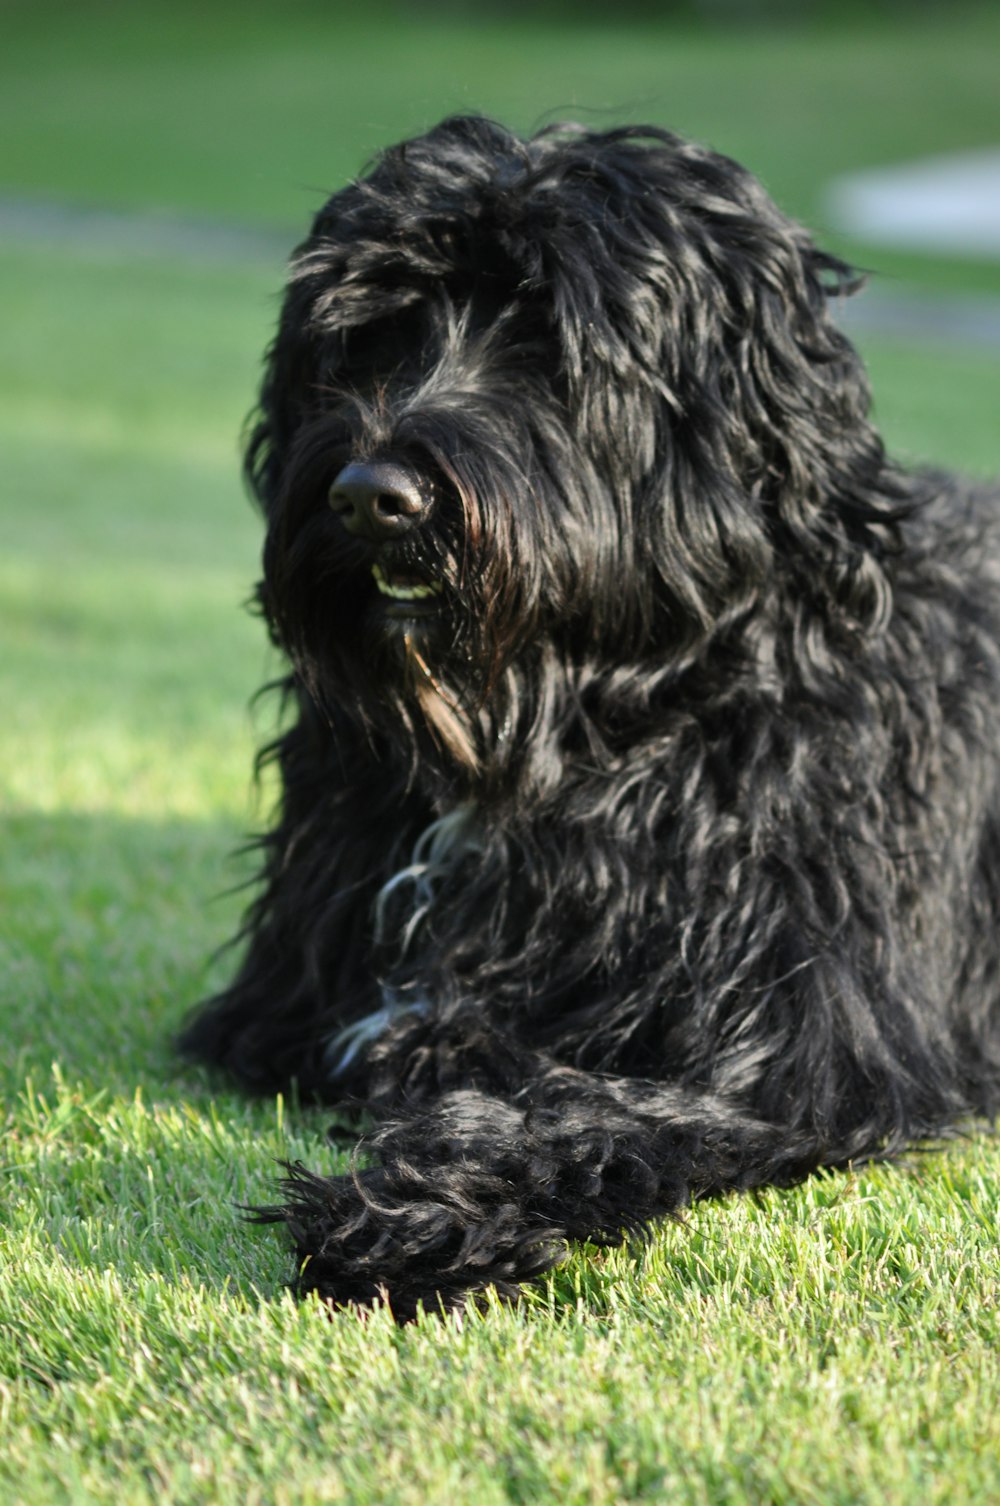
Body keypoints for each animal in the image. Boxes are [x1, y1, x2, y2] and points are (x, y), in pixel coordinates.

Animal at [179, 114, 1000, 1319]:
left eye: (547, 345)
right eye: (371, 336)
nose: (372, 496)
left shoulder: (798, 1051)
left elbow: (602, 1108)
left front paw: (422, 1207)